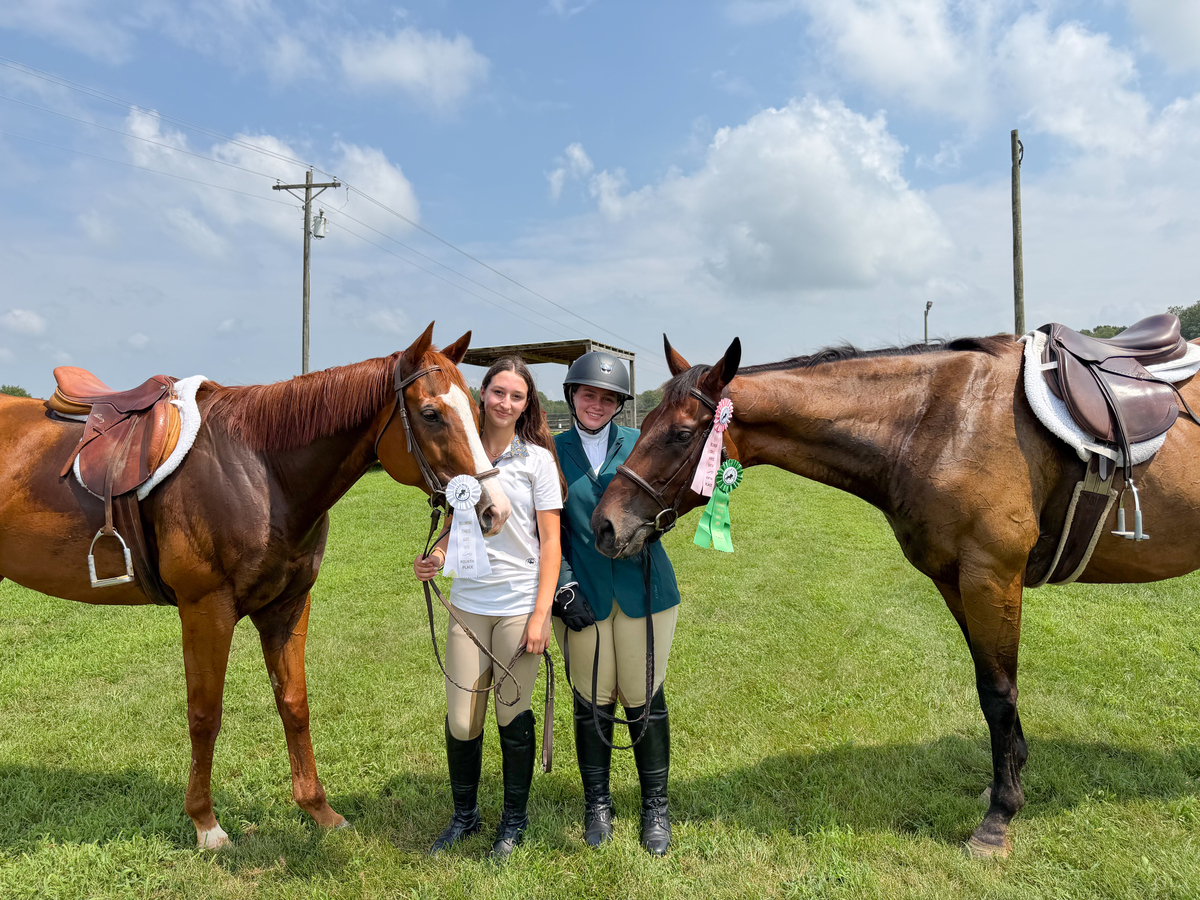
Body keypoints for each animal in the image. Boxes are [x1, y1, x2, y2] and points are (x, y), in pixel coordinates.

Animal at [0, 323, 509, 849]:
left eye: (476, 412)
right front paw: (206, 824)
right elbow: (205, 715)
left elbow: (294, 704)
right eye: (430, 414)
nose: (494, 510)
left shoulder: (288, 607)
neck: (260, 472)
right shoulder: (206, 609)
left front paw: (319, 810)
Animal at [592, 332, 1200, 858]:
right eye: (645, 421)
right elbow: (989, 687)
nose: (604, 525)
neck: (941, 421)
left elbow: (1000, 694)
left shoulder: (991, 576)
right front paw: (1007, 780)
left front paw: (999, 817)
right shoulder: (956, 581)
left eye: (680, 434)